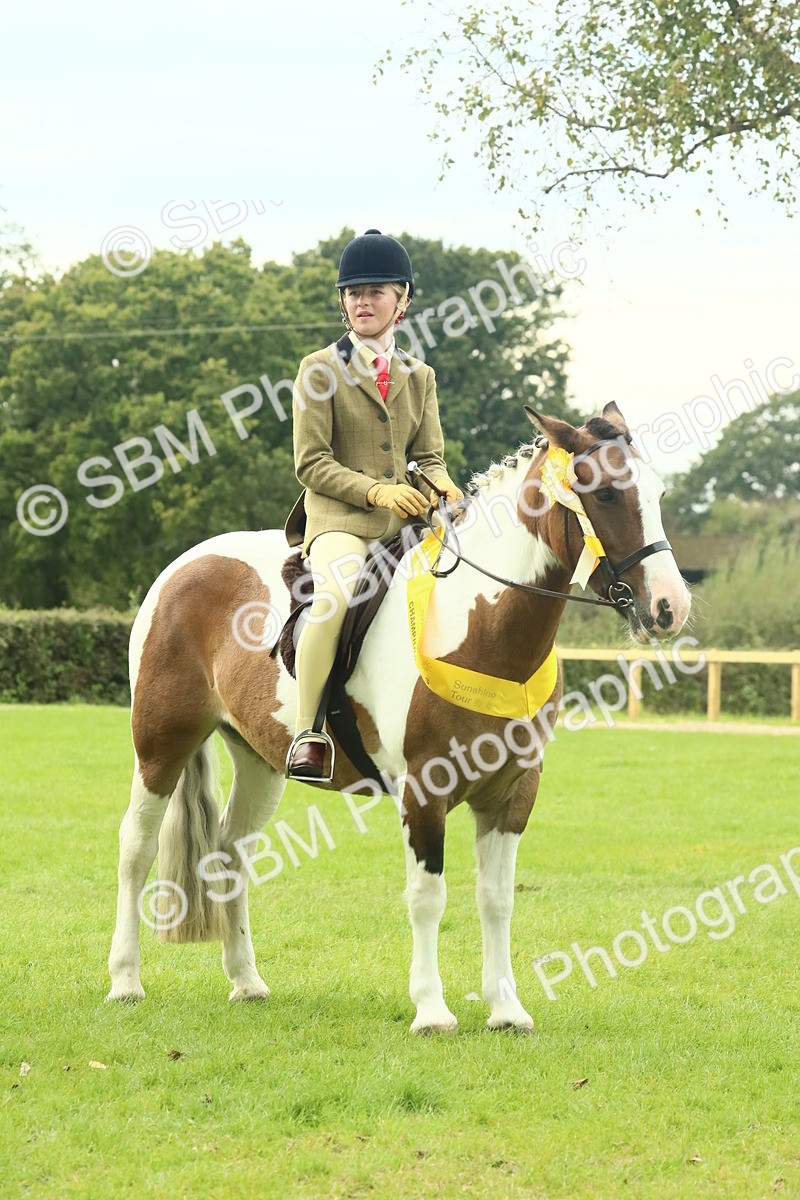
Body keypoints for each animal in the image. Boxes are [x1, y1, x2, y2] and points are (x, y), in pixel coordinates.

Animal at [107, 403, 691, 1032]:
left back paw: (246, 981)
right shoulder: (424, 790)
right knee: (136, 847)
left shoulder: (513, 791)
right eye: (604, 494)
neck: (479, 626)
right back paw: (125, 981)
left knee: (230, 852)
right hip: (161, 743)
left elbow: (497, 899)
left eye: (658, 491)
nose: (670, 607)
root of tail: (184, 565)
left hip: (260, 761)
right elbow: (427, 897)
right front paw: (431, 1010)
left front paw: (506, 1009)